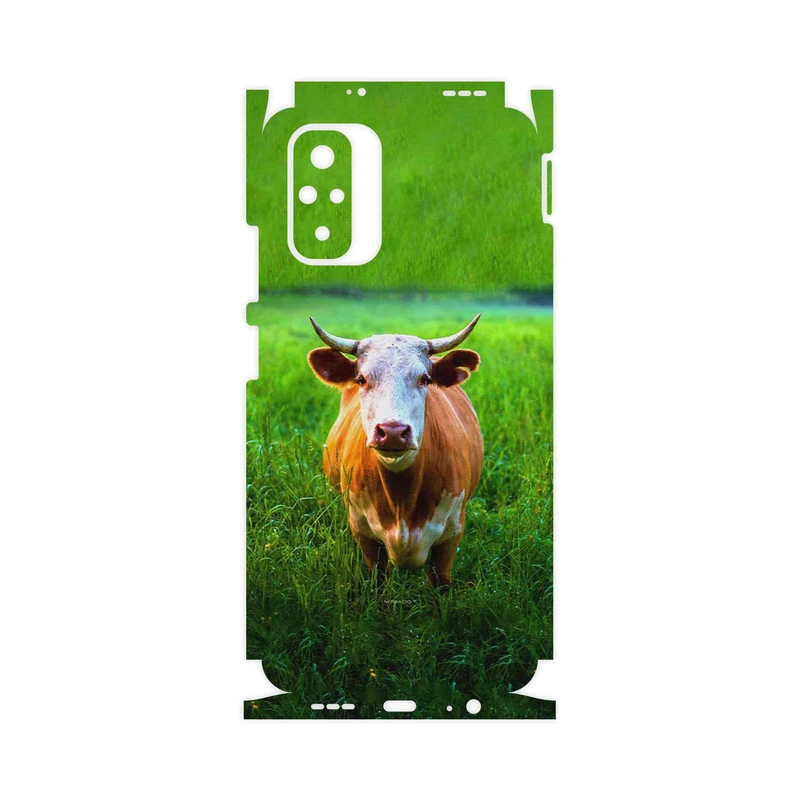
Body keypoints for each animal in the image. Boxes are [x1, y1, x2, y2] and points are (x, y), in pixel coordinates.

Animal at [307, 315, 484, 590]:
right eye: (361, 379)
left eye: (425, 379)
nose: (392, 431)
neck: (402, 500)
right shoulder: (363, 533)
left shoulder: (451, 534)